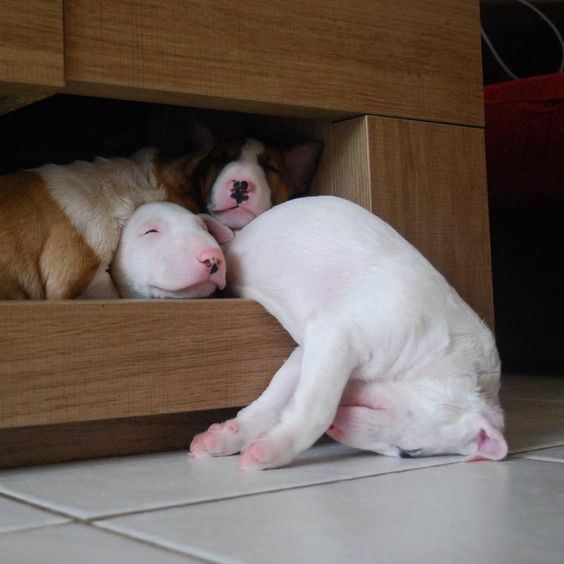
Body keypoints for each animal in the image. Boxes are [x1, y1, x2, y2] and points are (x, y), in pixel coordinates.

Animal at [189, 196, 506, 470]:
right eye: (411, 453)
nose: (336, 429)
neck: (440, 355)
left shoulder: (313, 347)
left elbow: (276, 398)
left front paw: (222, 438)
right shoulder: (338, 333)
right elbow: (316, 409)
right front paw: (268, 451)